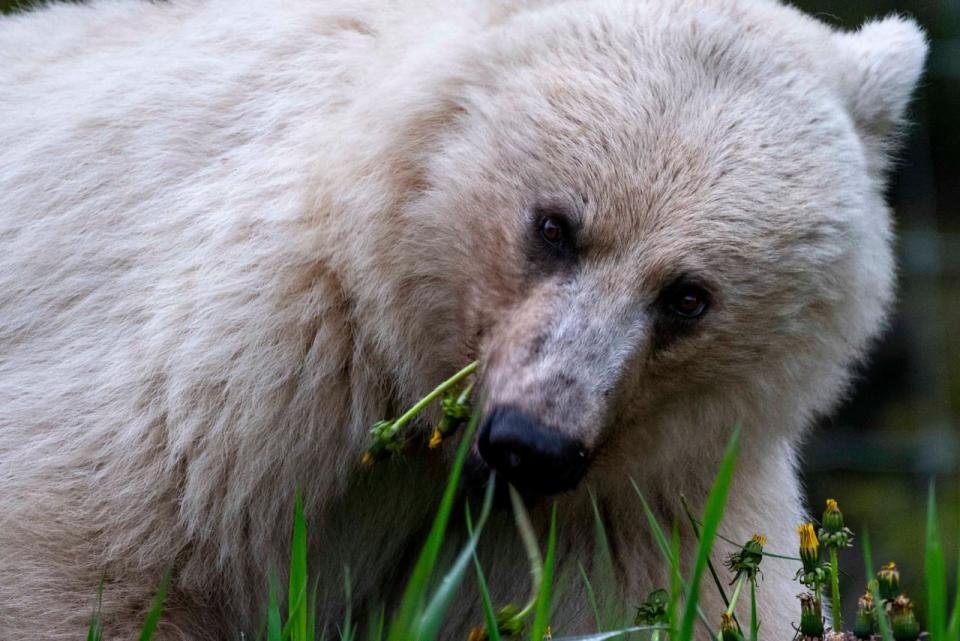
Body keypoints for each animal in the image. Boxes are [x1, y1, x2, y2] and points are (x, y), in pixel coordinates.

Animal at [0, 0, 928, 636]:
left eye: (687, 295)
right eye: (554, 225)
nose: (534, 442)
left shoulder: (642, 496)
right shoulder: (246, 367)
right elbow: (98, 560)